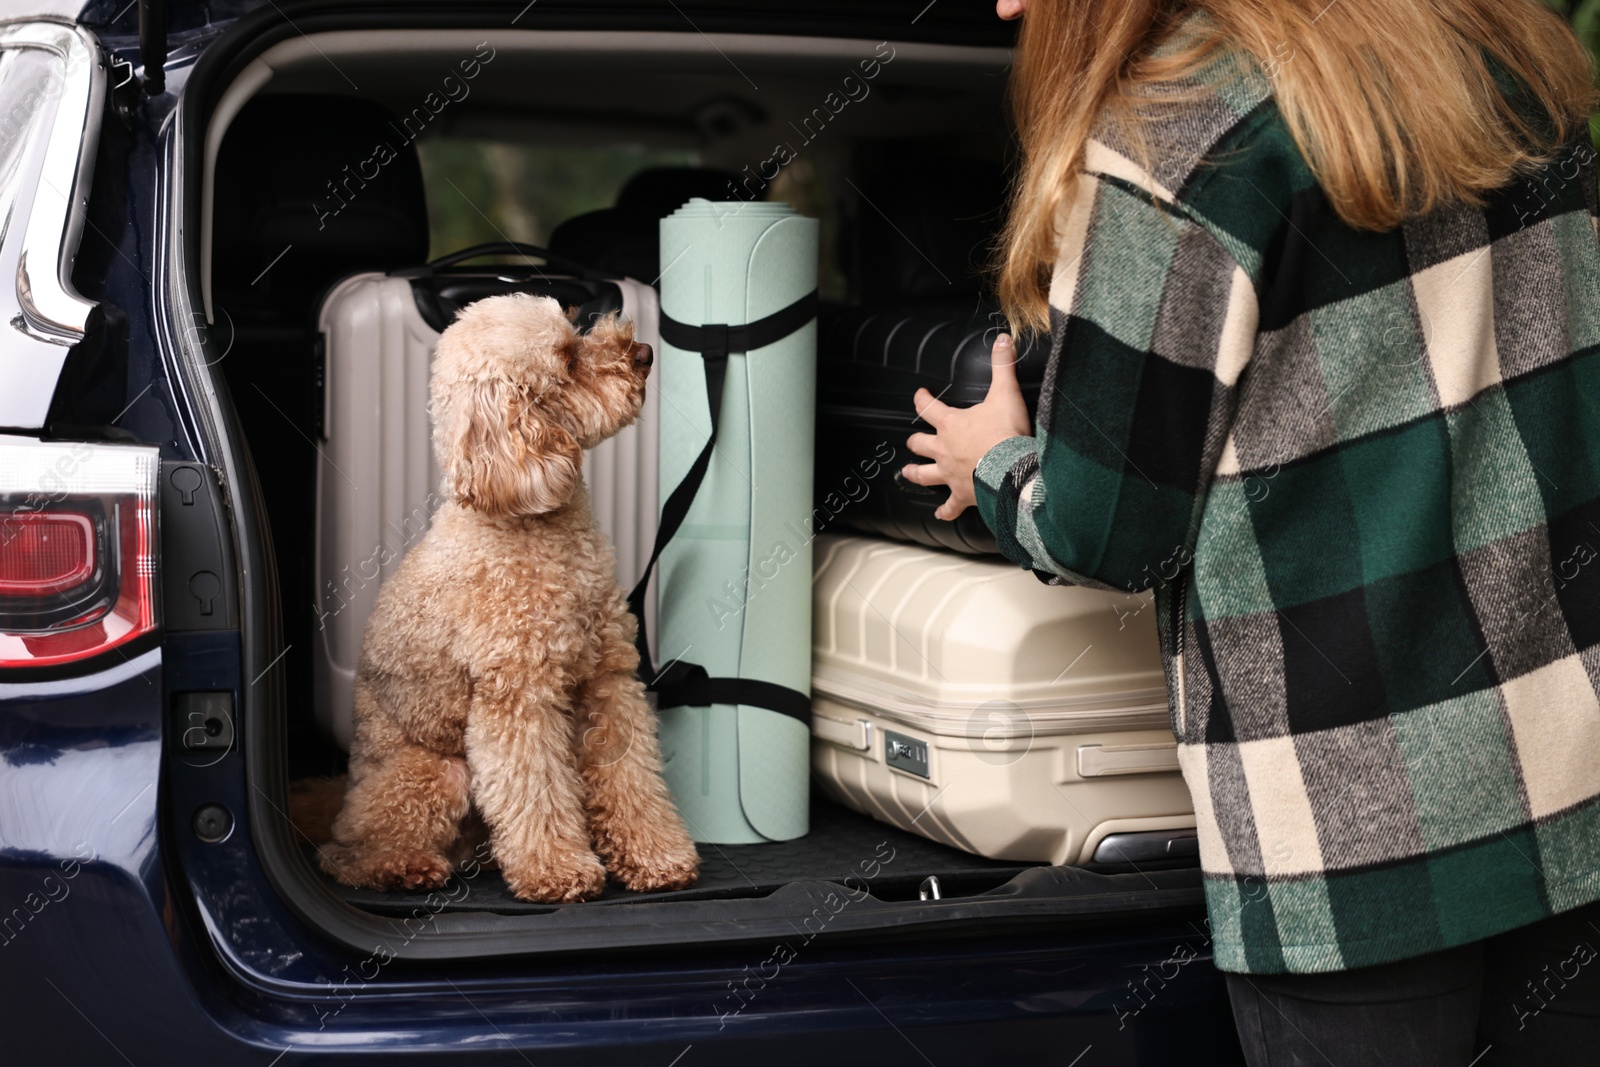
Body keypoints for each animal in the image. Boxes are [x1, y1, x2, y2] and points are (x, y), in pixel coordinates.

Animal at [320, 292, 700, 902]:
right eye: (565, 362)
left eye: (575, 326)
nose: (642, 351)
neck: (527, 521)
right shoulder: (519, 694)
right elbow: (534, 787)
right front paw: (559, 872)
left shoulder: (607, 678)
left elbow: (629, 772)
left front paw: (656, 855)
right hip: (431, 775)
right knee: (350, 855)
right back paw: (404, 867)